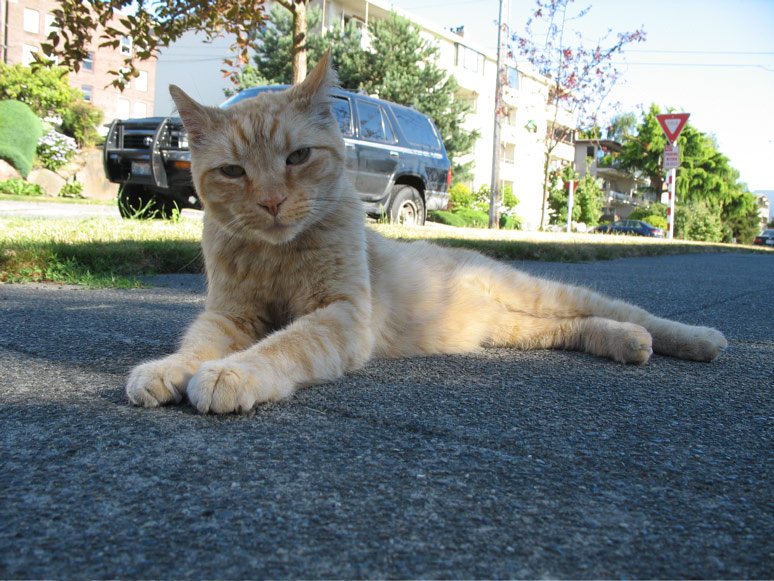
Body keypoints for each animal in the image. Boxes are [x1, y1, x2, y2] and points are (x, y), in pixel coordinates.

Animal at [124, 51, 732, 412]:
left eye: (297, 156)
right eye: (233, 171)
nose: (271, 202)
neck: (277, 254)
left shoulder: (341, 314)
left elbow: (283, 344)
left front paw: (232, 372)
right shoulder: (230, 314)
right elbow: (195, 343)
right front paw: (168, 370)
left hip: (544, 294)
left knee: (634, 312)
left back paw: (698, 339)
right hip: (517, 331)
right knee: (582, 327)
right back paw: (627, 344)